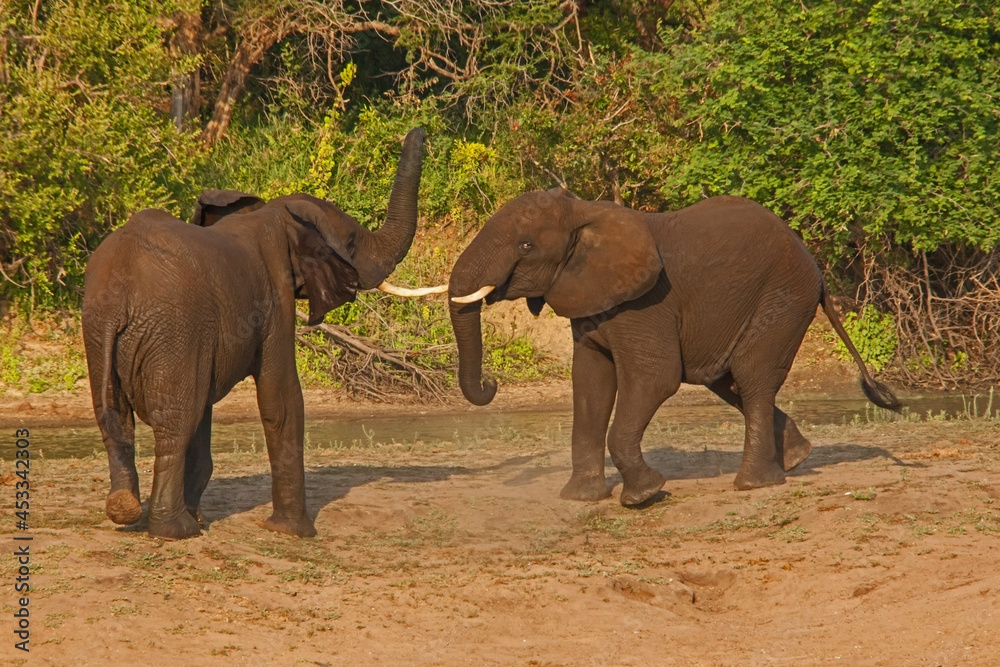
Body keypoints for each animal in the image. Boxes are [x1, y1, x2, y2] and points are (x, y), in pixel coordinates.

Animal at [82, 127, 439, 539]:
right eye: (349, 244)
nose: (419, 131)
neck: (277, 215)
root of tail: (118, 290)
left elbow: (207, 409)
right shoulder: (274, 297)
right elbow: (280, 399)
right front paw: (295, 532)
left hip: (101, 332)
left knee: (117, 417)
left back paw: (129, 510)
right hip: (170, 329)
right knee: (175, 422)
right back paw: (177, 530)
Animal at [448, 188, 901, 506]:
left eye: (526, 246)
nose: (490, 384)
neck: (586, 214)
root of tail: (818, 273)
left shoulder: (646, 303)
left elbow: (653, 379)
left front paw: (644, 496)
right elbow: (591, 384)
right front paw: (581, 498)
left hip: (784, 298)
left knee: (752, 377)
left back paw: (753, 484)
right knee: (728, 380)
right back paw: (796, 459)